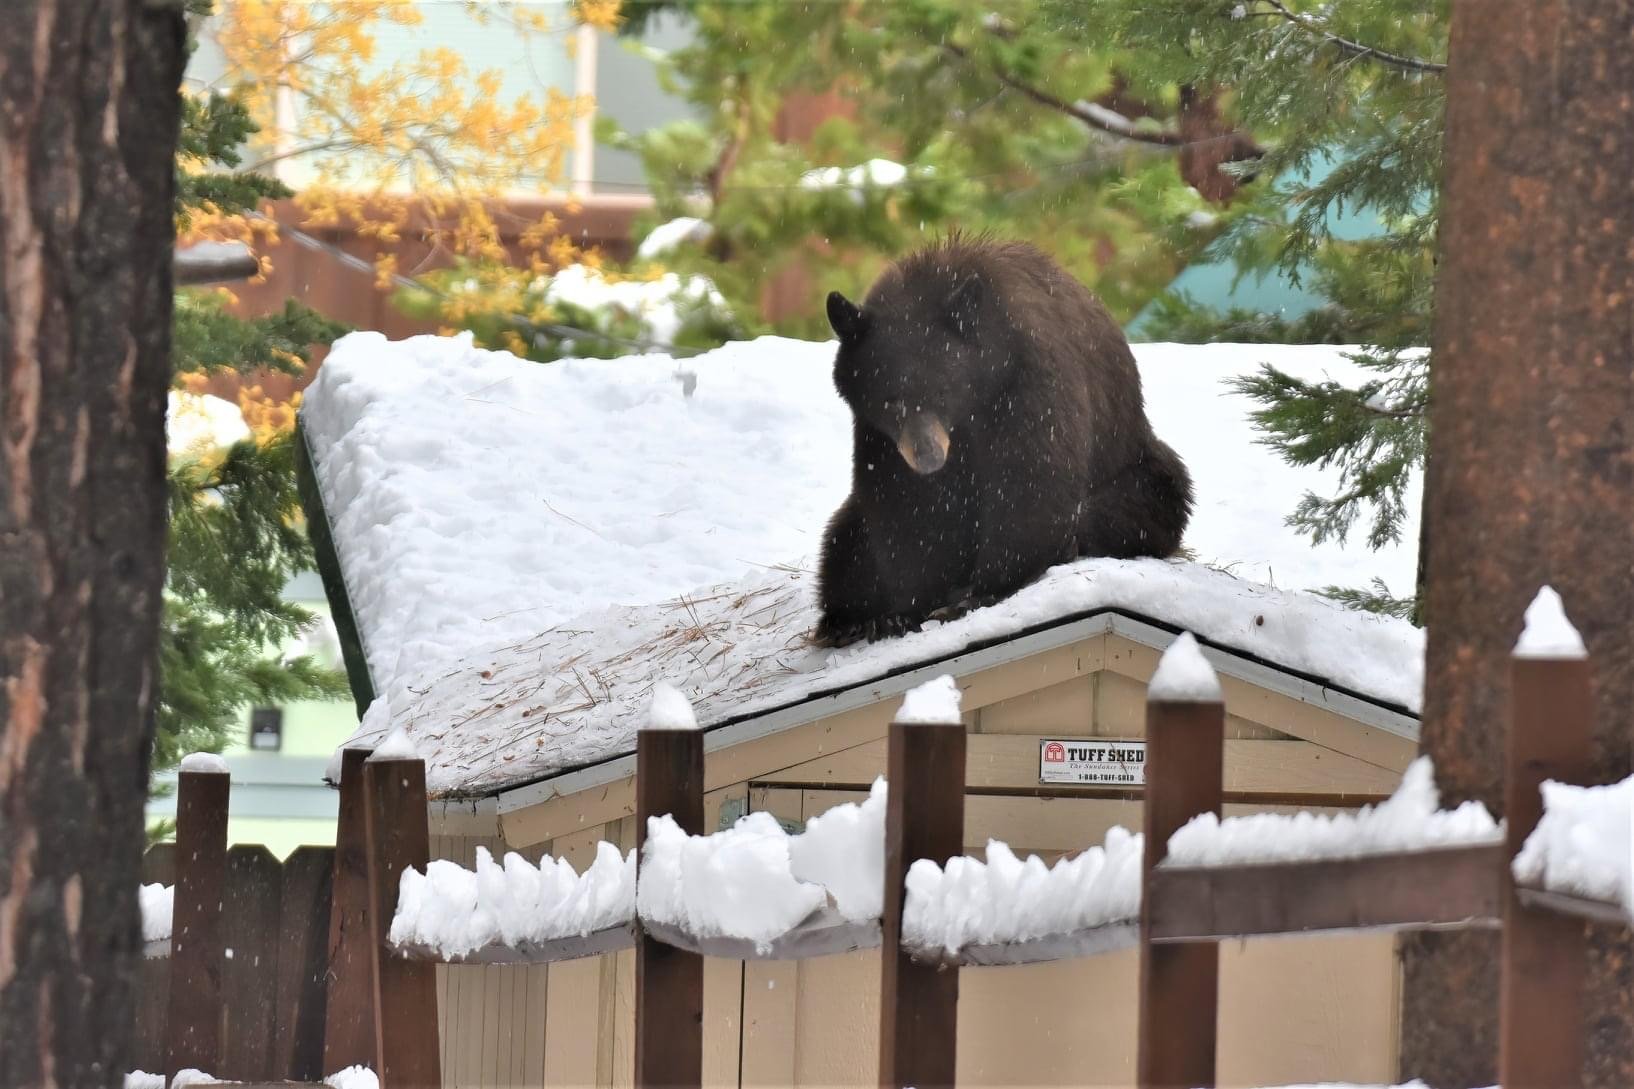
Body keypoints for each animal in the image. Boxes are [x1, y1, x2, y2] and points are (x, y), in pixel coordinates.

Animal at [813, 235, 1189, 644]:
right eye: (889, 398)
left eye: (942, 390)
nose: (928, 456)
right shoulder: (877, 434)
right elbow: (905, 504)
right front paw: (898, 614)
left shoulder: (1029, 380)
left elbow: (1029, 479)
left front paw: (980, 592)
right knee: (845, 540)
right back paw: (847, 620)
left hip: (1136, 466)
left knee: (1140, 503)